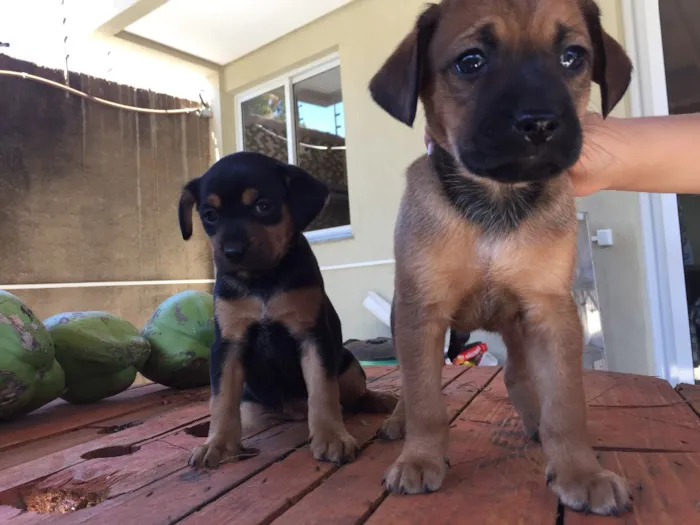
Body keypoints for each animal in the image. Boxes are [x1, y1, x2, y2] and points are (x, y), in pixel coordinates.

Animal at [180, 151, 396, 466]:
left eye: (263, 206)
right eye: (210, 215)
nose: (232, 253)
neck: (262, 281)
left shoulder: (311, 335)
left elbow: (322, 390)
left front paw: (331, 437)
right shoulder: (229, 343)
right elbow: (221, 400)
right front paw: (217, 445)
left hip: (349, 366)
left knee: (353, 396)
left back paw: (381, 399)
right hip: (253, 408)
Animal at [372, 0, 636, 516]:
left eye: (573, 57)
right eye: (470, 61)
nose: (540, 124)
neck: (495, 200)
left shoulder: (549, 311)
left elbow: (565, 405)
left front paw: (581, 471)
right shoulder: (422, 311)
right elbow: (424, 398)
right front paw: (420, 458)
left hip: (517, 325)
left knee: (517, 373)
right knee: (413, 389)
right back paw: (398, 423)